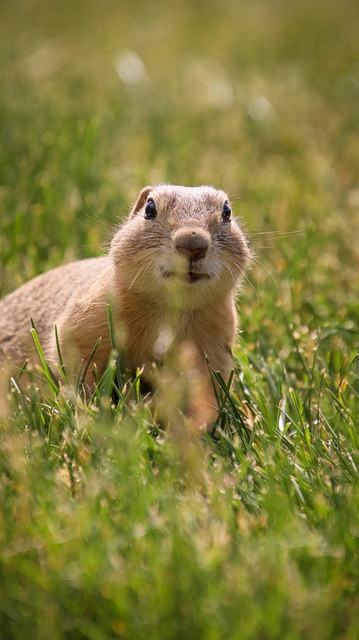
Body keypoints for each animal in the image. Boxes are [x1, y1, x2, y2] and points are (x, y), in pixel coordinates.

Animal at [0, 182, 252, 428]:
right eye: (149, 209)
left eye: (227, 212)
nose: (192, 243)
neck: (170, 308)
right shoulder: (86, 322)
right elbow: (77, 366)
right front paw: (89, 411)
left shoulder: (214, 344)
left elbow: (207, 388)